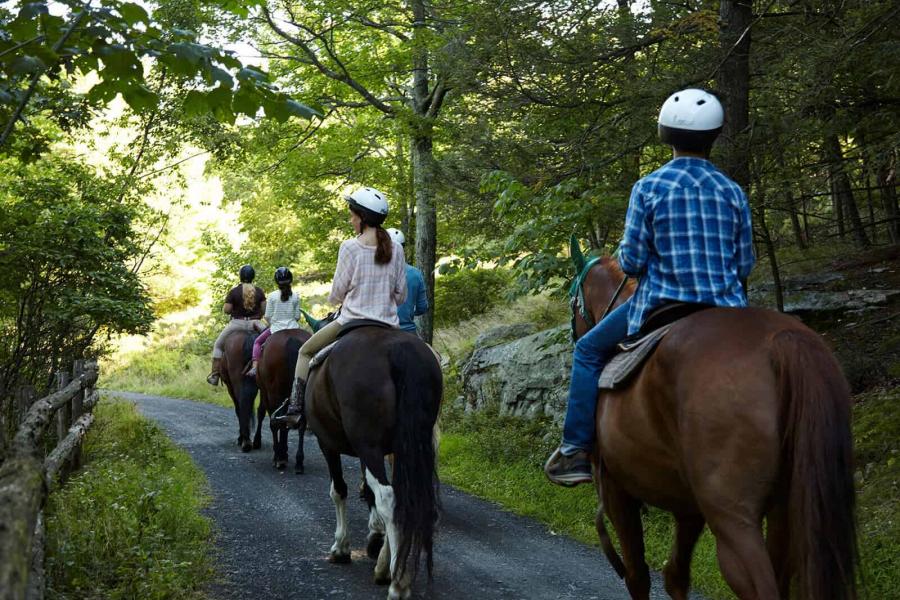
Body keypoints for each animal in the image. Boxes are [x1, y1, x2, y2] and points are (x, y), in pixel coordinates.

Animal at [255, 328, 312, 474]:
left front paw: (280, 455)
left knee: (274, 422)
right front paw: (284, 453)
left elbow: (266, 416)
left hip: (273, 393)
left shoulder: (266, 393)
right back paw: (299, 462)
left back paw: (278, 458)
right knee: (301, 422)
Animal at [306, 326, 442, 600]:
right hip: (410, 445)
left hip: (368, 446)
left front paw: (341, 547)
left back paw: (398, 583)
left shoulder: (328, 444)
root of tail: (400, 349)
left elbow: (339, 491)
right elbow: (370, 492)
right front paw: (377, 543)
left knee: (388, 498)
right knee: (401, 500)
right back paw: (389, 569)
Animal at [568, 251, 856, 600]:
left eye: (572, 300)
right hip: (786, 510)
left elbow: (637, 575)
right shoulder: (687, 506)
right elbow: (675, 574)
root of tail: (782, 342)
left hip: (732, 517)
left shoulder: (615, 491)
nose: (575, 335)